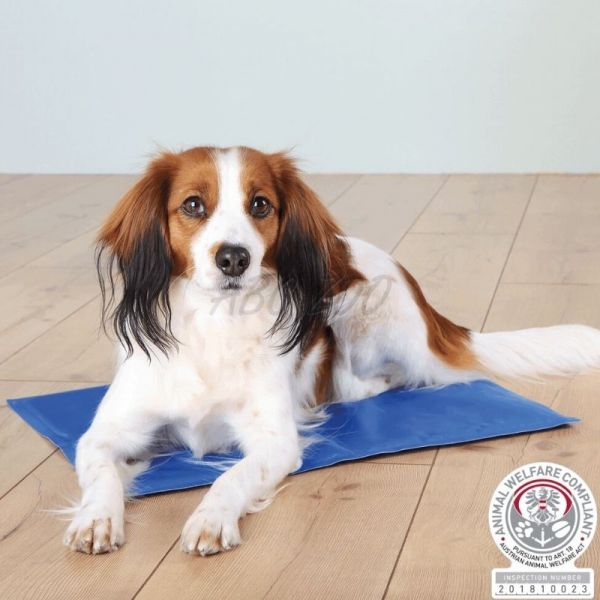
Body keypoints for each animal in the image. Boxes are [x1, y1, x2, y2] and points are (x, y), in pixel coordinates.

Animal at [64, 146, 600, 555]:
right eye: (193, 205)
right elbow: (101, 472)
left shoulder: (274, 440)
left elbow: (232, 476)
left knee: (371, 382)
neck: (215, 325)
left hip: (358, 305)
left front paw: (211, 518)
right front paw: (95, 519)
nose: (234, 258)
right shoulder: (105, 433)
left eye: (260, 205)